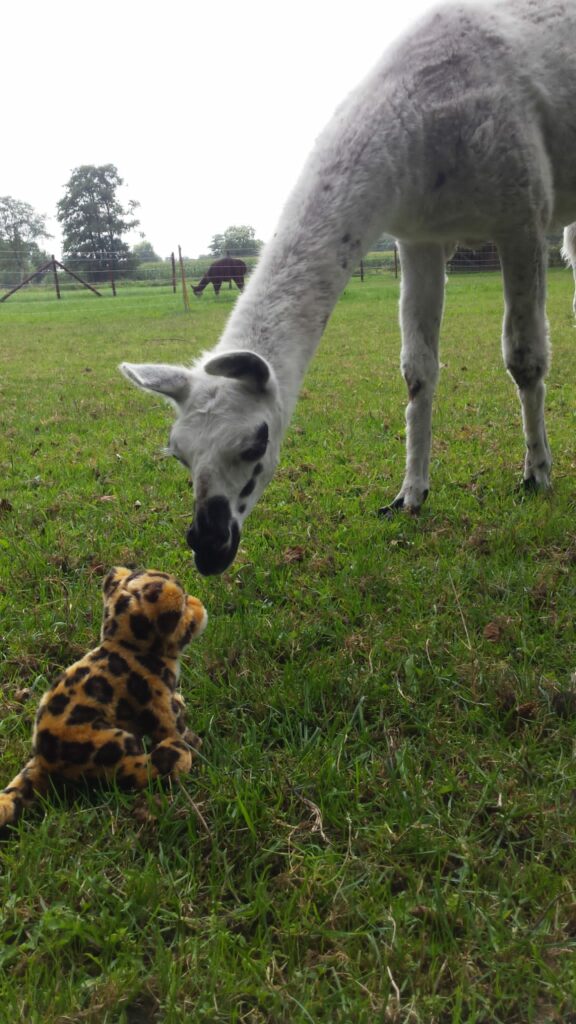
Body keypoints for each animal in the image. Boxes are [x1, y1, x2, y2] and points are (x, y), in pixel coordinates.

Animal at [118, 0, 573, 577]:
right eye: (178, 453)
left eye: (256, 442)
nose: (207, 544)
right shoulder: (420, 236)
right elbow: (418, 371)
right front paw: (410, 494)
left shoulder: (522, 216)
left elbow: (524, 359)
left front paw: (536, 475)